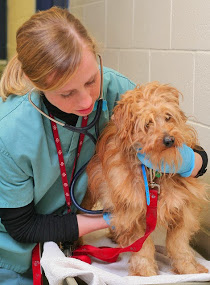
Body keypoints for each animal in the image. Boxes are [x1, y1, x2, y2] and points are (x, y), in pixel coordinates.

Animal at [84, 81, 208, 276]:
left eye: (168, 117)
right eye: (148, 123)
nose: (169, 140)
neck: (154, 173)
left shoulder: (183, 210)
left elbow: (179, 245)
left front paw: (189, 269)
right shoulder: (133, 214)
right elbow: (143, 249)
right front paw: (146, 273)